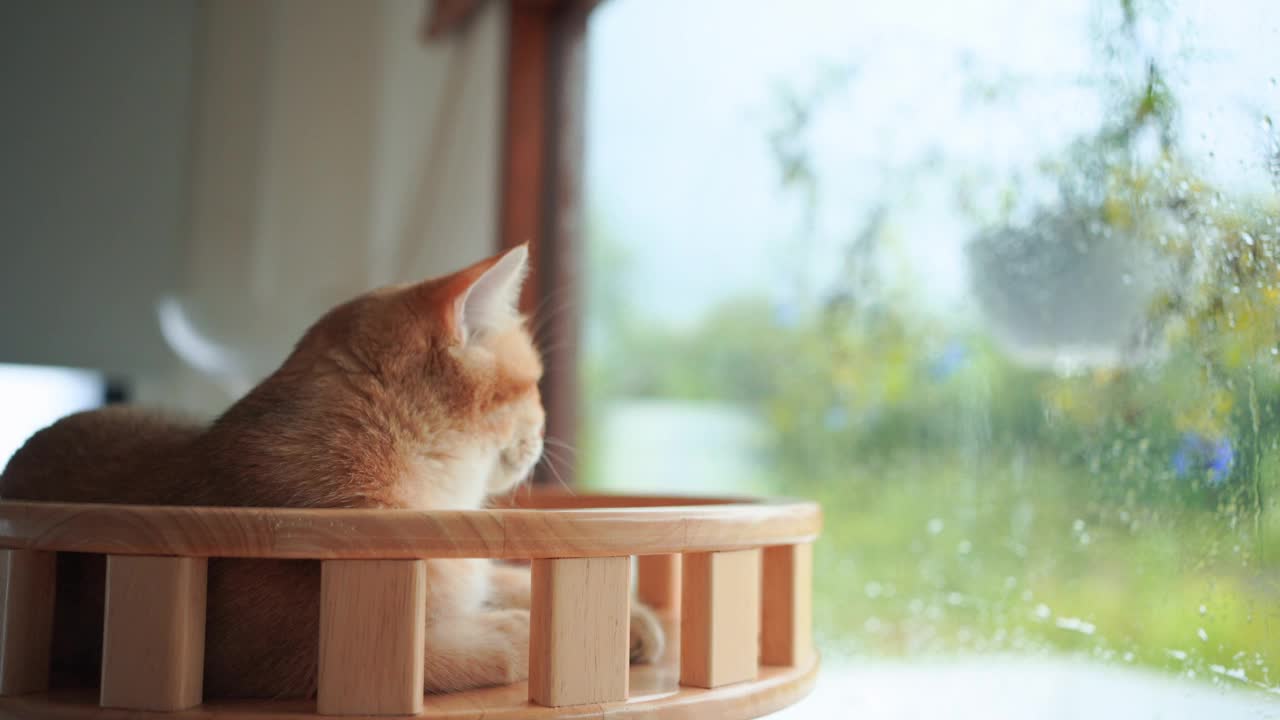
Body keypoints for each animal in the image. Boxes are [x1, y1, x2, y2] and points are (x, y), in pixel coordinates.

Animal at [7, 245, 670, 696]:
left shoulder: (471, 570)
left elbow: (509, 578)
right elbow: (459, 645)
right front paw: (540, 632)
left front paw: (635, 620)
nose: (544, 428)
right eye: (532, 385)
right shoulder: (278, 657)